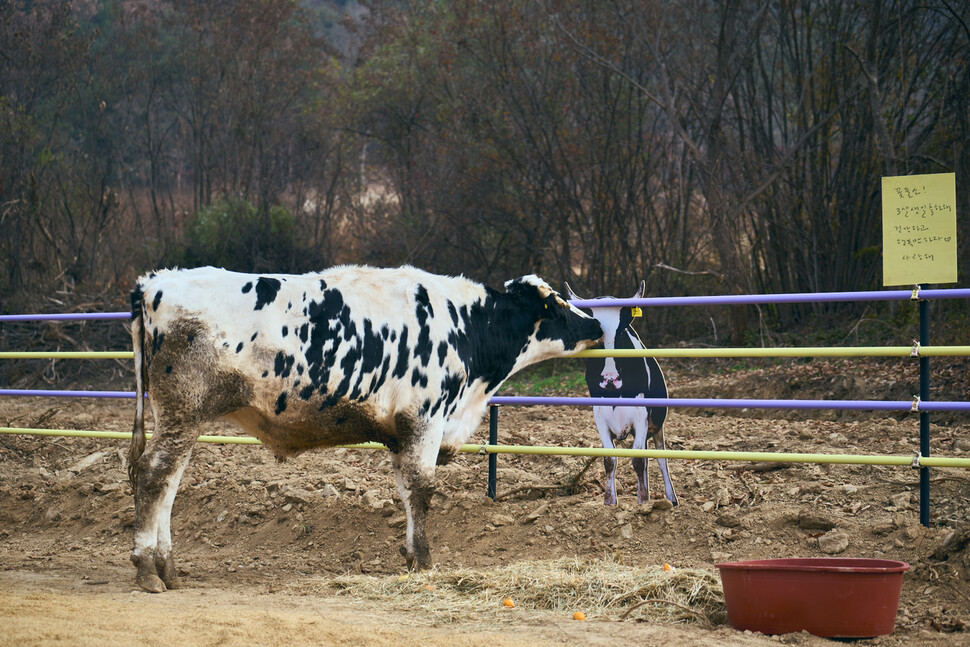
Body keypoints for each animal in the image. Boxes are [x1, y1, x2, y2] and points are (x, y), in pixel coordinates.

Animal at [125, 264, 600, 592]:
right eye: (558, 304)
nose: (595, 323)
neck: (464, 325)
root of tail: (155, 283)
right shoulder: (425, 420)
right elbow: (422, 489)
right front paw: (424, 560)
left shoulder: (402, 433)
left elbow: (407, 491)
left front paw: (410, 555)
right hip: (182, 412)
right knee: (153, 476)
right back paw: (148, 569)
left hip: (179, 419)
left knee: (167, 484)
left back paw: (169, 568)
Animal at [564, 280, 676, 508]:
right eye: (596, 334)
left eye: (622, 331)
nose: (610, 378)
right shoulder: (599, 413)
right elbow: (610, 460)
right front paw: (610, 502)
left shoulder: (642, 414)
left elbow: (639, 460)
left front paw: (643, 503)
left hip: (657, 424)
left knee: (661, 459)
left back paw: (670, 498)